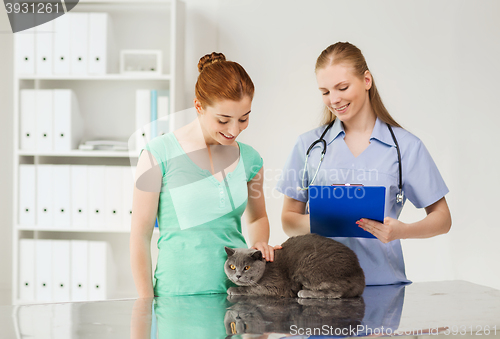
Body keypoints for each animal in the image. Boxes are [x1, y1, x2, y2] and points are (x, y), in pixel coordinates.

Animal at [225, 235, 366, 298]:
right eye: (232, 267)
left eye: (247, 267)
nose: (238, 275)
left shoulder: (274, 287)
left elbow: (249, 289)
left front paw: (232, 289)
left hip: (311, 264)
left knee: (336, 292)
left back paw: (303, 292)